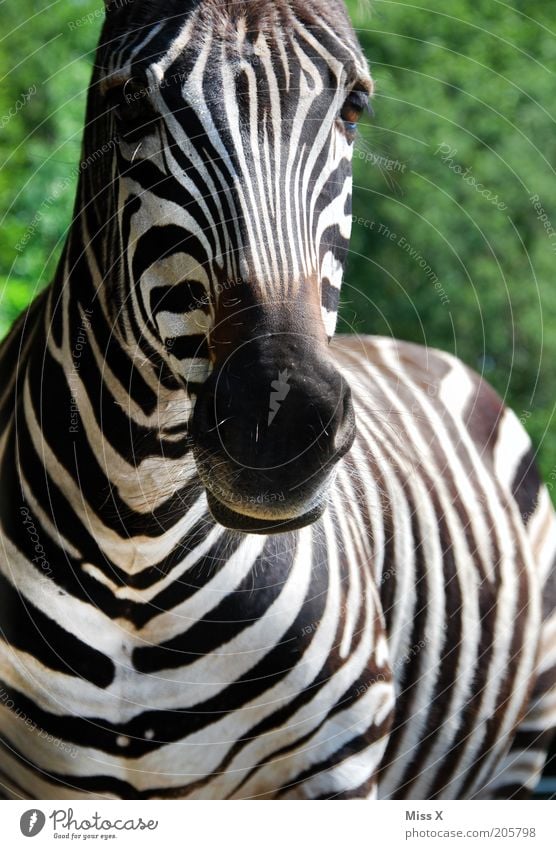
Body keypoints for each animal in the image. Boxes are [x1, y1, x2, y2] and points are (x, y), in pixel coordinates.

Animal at [0, 0, 552, 800]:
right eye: (131, 103)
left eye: (354, 108)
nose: (279, 429)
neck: (137, 537)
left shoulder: (337, 766)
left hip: (520, 755)